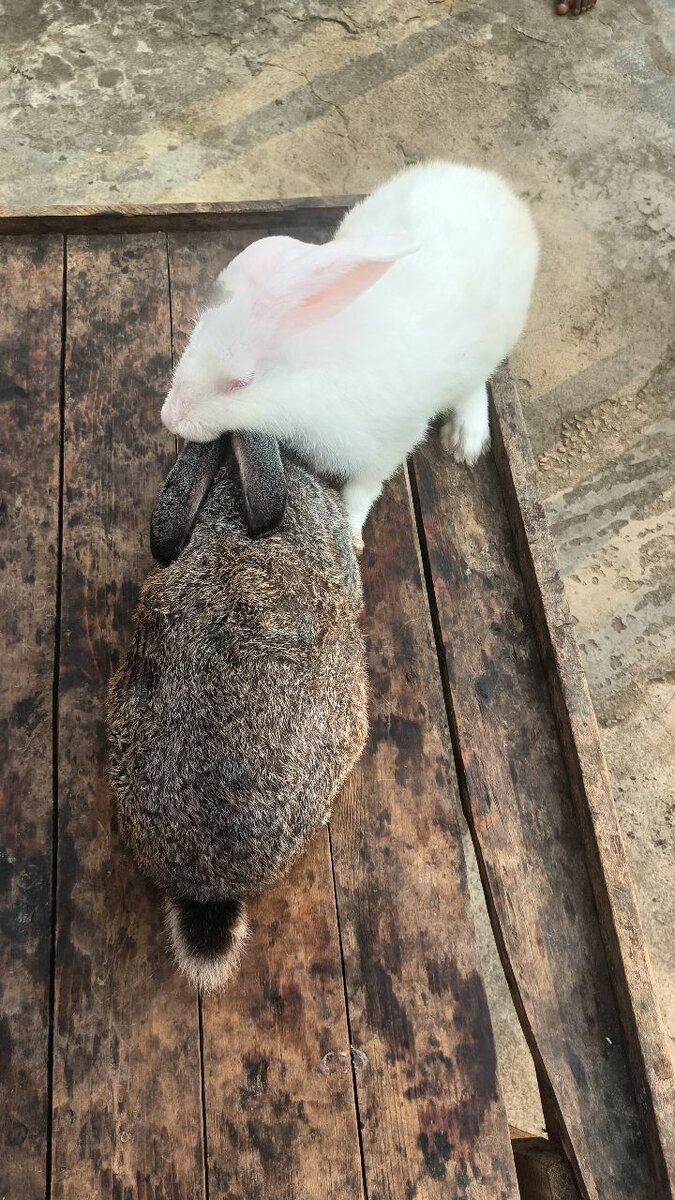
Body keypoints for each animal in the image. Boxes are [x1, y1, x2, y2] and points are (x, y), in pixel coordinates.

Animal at [160, 161, 539, 541]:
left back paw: (465, 440)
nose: (169, 418)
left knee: (475, 387)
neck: (312, 379)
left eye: (242, 382)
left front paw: (352, 532)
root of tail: (491, 184)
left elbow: (363, 490)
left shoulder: (386, 447)